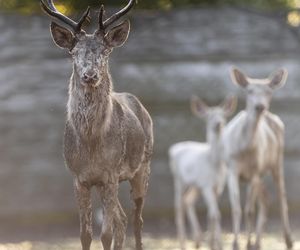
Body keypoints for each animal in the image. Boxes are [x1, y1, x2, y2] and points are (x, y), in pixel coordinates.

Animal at [40, 0, 154, 249]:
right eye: (73, 52)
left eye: (105, 51)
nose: (89, 75)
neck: (91, 143)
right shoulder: (79, 178)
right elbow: (85, 234)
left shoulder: (110, 174)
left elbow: (106, 235)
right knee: (122, 219)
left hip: (143, 166)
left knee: (137, 220)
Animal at [169, 96, 237, 250]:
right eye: (209, 116)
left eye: (223, 115)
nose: (218, 124)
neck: (214, 163)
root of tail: (172, 149)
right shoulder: (206, 185)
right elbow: (215, 214)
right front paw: (219, 245)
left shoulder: (217, 187)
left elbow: (211, 214)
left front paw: (212, 243)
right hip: (178, 179)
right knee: (178, 206)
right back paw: (183, 243)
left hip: (195, 186)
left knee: (188, 200)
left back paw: (198, 240)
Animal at [224, 67, 294, 250]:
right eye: (249, 91)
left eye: (269, 92)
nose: (260, 106)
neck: (245, 150)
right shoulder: (232, 169)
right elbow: (236, 208)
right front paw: (236, 243)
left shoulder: (254, 171)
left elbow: (249, 210)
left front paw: (246, 243)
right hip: (260, 174)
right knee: (266, 199)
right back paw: (258, 242)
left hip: (276, 162)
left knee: (281, 196)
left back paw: (288, 240)